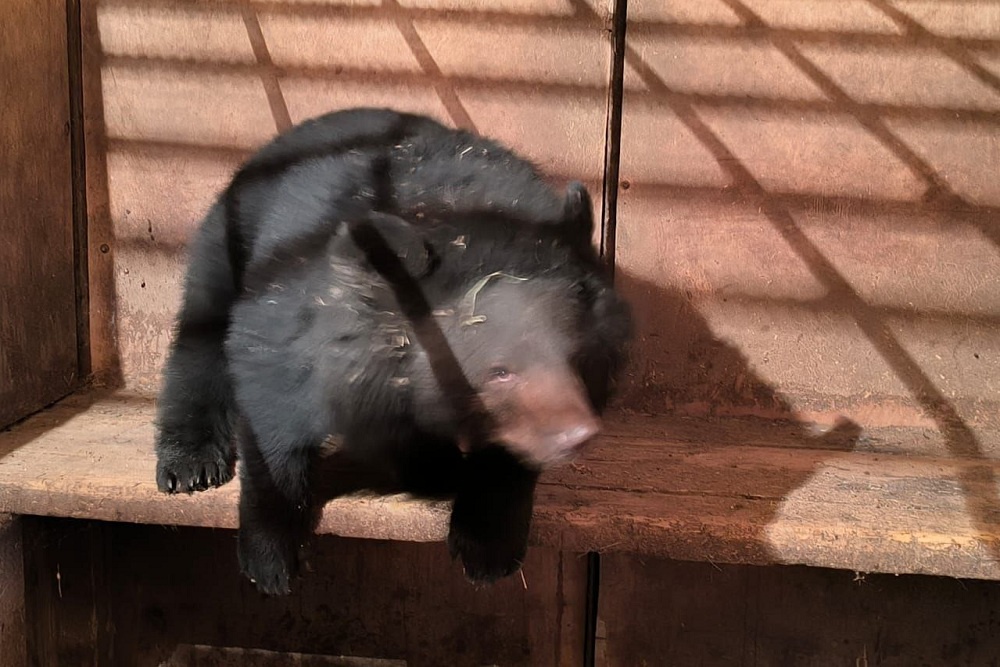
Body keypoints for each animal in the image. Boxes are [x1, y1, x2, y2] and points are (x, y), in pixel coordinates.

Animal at [154, 107, 632, 595]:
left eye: (576, 360)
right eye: (500, 371)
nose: (577, 436)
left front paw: (486, 546)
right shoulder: (298, 298)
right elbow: (274, 397)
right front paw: (270, 560)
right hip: (225, 244)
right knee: (201, 340)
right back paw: (189, 464)